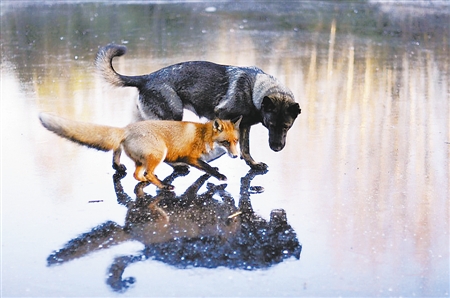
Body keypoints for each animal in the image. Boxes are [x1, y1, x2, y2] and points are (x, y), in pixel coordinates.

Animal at [40, 113, 241, 190]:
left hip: (143, 159)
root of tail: (126, 129)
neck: (204, 136)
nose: (236, 156)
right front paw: (219, 176)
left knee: (138, 175)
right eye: (225, 142)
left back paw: (148, 182)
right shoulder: (189, 156)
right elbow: (207, 167)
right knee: (148, 173)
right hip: (159, 152)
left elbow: (206, 168)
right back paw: (164, 186)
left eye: (236, 141)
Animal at [95, 44, 300, 170]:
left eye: (287, 127)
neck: (254, 90)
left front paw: (253, 164)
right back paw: (178, 166)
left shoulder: (244, 126)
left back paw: (117, 166)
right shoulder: (223, 117)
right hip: (171, 118)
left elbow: (245, 148)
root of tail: (146, 78)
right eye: (271, 125)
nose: (277, 148)